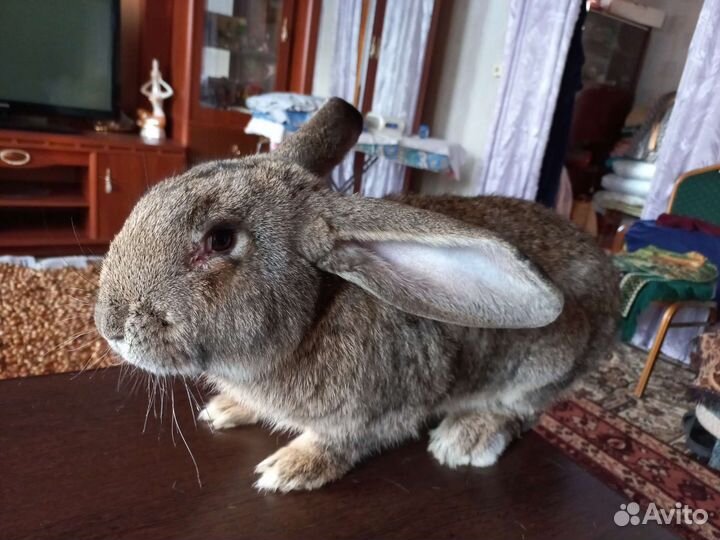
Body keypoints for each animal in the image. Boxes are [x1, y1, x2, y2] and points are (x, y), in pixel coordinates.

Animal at [95, 97, 619, 493]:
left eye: (221, 240)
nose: (109, 325)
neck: (314, 314)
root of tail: (611, 291)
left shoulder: (379, 412)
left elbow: (340, 443)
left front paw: (289, 469)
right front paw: (227, 408)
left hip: (545, 366)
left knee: (521, 410)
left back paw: (464, 438)